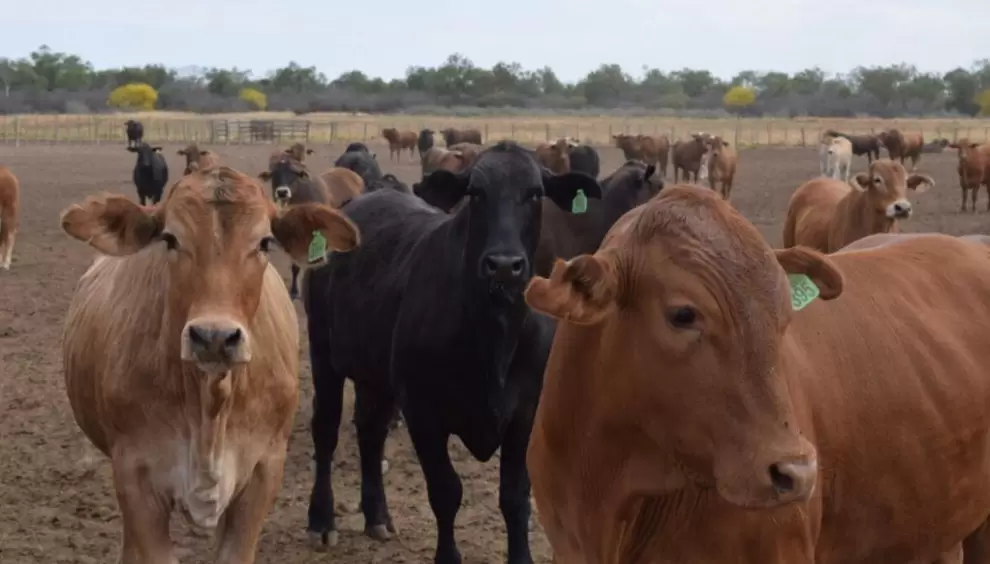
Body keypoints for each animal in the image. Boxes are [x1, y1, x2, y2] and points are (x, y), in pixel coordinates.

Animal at [303, 141, 600, 563]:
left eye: (535, 193)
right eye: (475, 193)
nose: (504, 265)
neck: (495, 340)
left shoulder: (525, 413)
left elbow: (515, 498)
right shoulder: (423, 412)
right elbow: (446, 492)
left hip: (375, 375)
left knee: (370, 432)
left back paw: (377, 516)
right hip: (323, 354)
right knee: (326, 432)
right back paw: (322, 520)